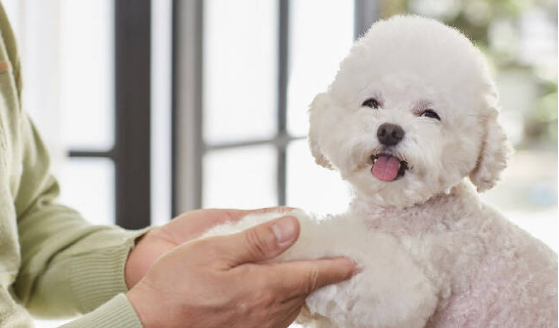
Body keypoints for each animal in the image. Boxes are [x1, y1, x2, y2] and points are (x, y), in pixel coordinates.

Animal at [201, 15, 556, 328]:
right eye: (371, 103)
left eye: (430, 114)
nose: (389, 131)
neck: (401, 211)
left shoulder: (406, 290)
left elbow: (325, 236)